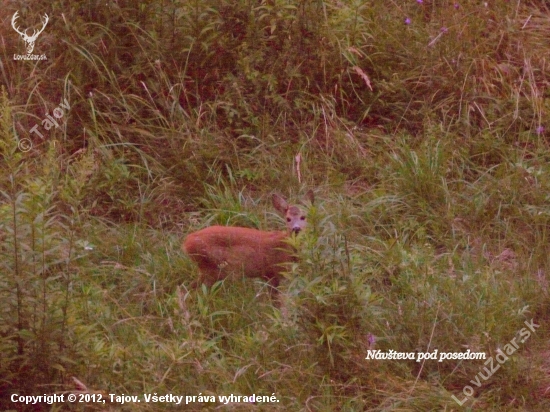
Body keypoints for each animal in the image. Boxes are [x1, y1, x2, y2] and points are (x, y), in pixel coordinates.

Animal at [185, 191, 314, 292]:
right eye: (288, 219)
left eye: (303, 217)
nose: (296, 228)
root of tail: (186, 242)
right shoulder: (273, 273)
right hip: (211, 268)